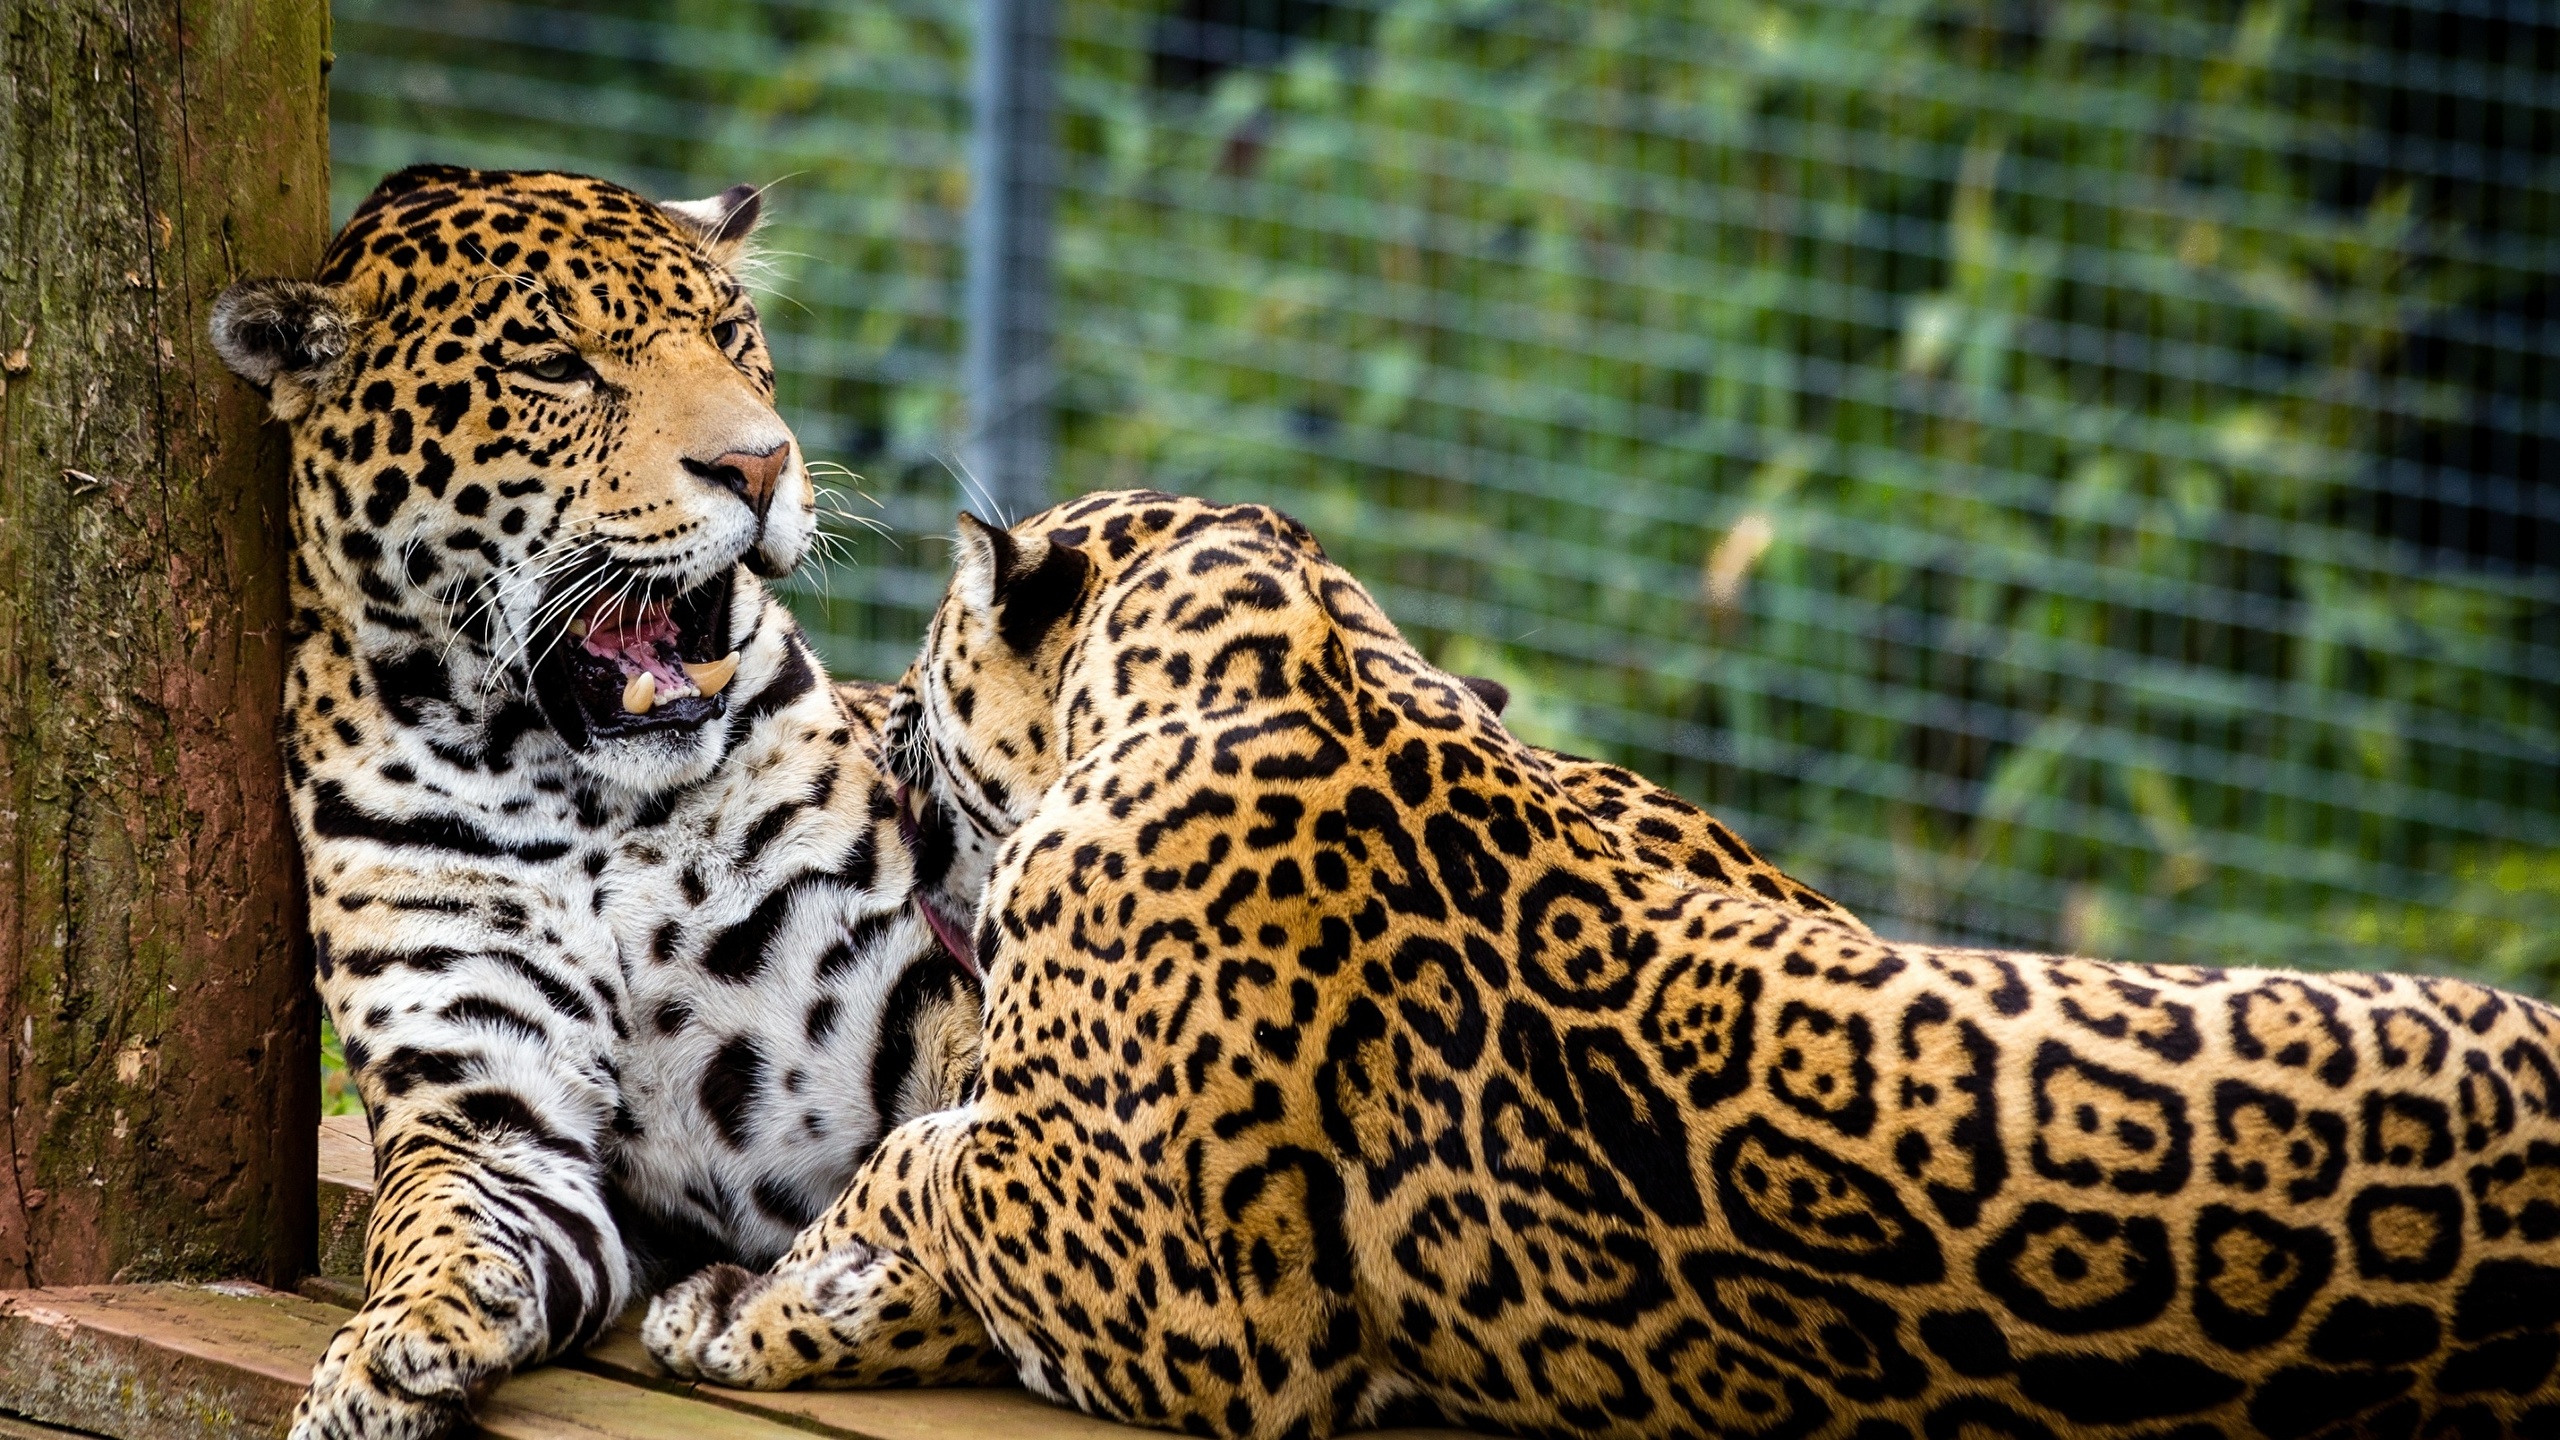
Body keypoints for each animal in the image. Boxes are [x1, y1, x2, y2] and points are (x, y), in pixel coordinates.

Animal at [208, 165, 982, 1440]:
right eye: (554, 366)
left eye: (730, 336)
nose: (761, 465)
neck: (589, 802)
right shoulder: (483, 1105)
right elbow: (435, 1230)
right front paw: (377, 1368)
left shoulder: (948, 1019)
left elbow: (981, 1183)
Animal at [646, 488, 2560, 1440]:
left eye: (930, 657)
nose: (885, 734)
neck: (1314, 656)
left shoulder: (1205, 1304)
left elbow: (935, 1160)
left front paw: (788, 1293)